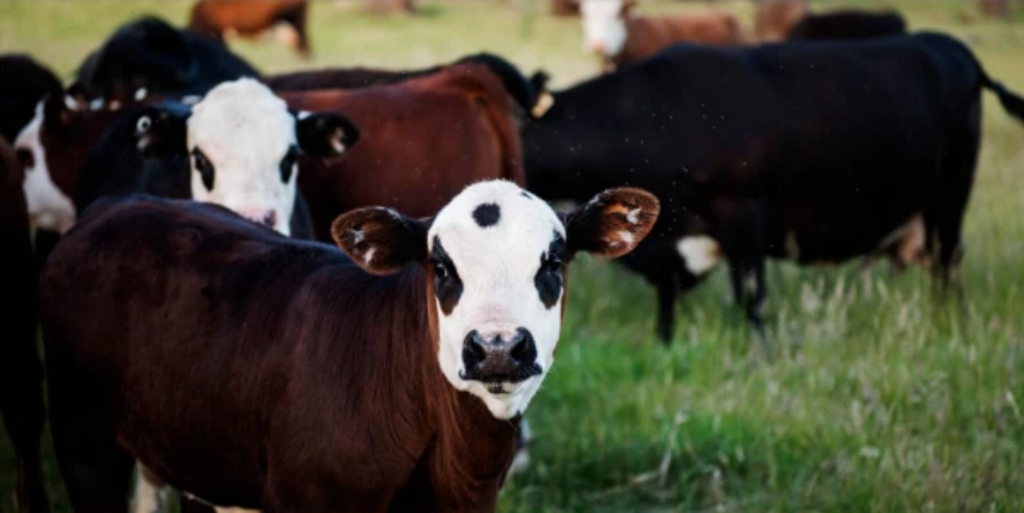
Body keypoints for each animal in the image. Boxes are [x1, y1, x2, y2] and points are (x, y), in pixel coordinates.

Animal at [523, 32, 1024, 345]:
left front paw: (757, 354)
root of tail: (950, 46)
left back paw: (946, 321)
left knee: (947, 263)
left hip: (950, 196)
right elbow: (668, 297)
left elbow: (752, 297)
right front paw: (664, 344)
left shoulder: (743, 215)